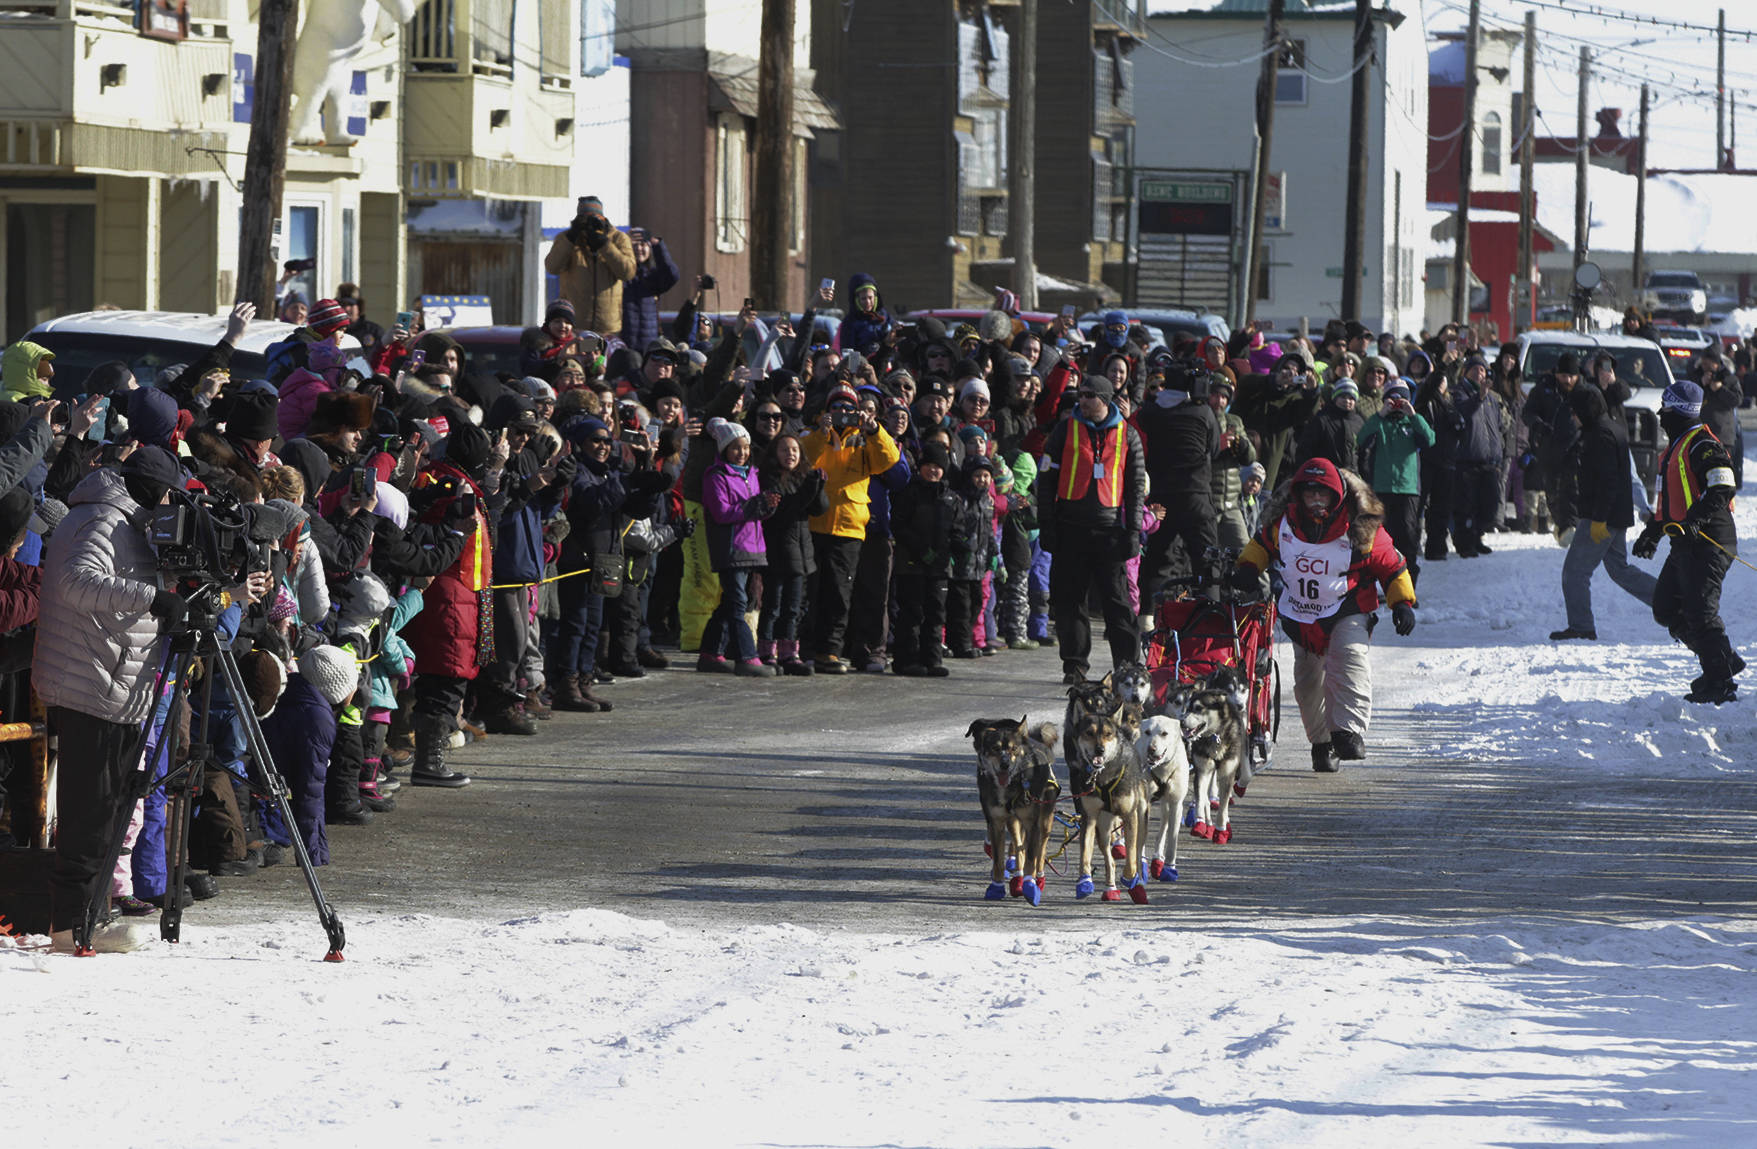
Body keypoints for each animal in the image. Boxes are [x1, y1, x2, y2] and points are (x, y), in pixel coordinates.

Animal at [969, 720, 1061, 906]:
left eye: (1014, 748)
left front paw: (1030, 886)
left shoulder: (1032, 824)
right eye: (995, 748)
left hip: (1045, 821)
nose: (1005, 764)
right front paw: (996, 887)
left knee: (1040, 851)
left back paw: (1038, 880)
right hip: (1013, 822)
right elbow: (999, 860)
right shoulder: (996, 823)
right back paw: (1017, 880)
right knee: (1018, 847)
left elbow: (1032, 858)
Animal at [1061, 709, 1145, 906]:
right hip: (1103, 827)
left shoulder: (1130, 816)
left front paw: (1129, 877)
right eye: (1089, 733)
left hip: (1141, 817)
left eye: (1108, 734)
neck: (1103, 775)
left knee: (1138, 852)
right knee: (1109, 859)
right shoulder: (1089, 817)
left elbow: (1131, 854)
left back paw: (1138, 882)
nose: (1100, 749)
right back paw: (1110, 889)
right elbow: (1085, 852)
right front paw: (1084, 882)